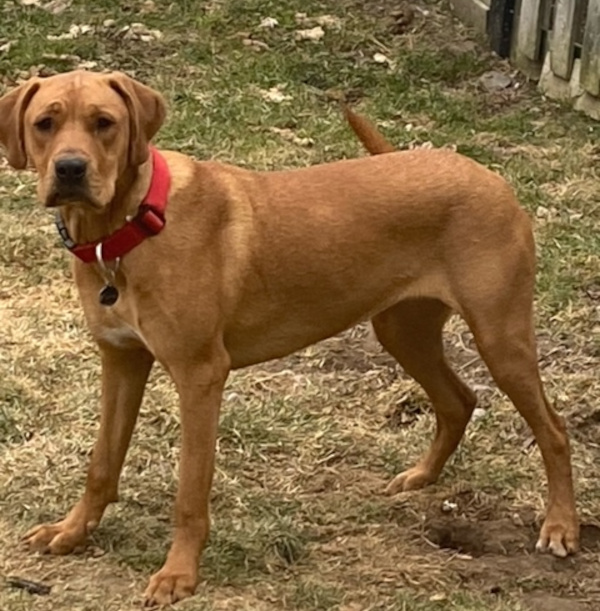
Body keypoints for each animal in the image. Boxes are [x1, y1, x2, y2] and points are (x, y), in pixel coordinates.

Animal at [0, 70, 580, 604]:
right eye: (45, 123)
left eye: (105, 123)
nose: (70, 169)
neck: (125, 229)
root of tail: (484, 172)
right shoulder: (120, 360)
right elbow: (101, 462)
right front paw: (72, 532)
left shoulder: (200, 375)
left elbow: (190, 490)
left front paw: (178, 574)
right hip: (401, 329)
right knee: (458, 400)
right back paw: (421, 476)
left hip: (500, 336)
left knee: (552, 429)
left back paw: (560, 527)